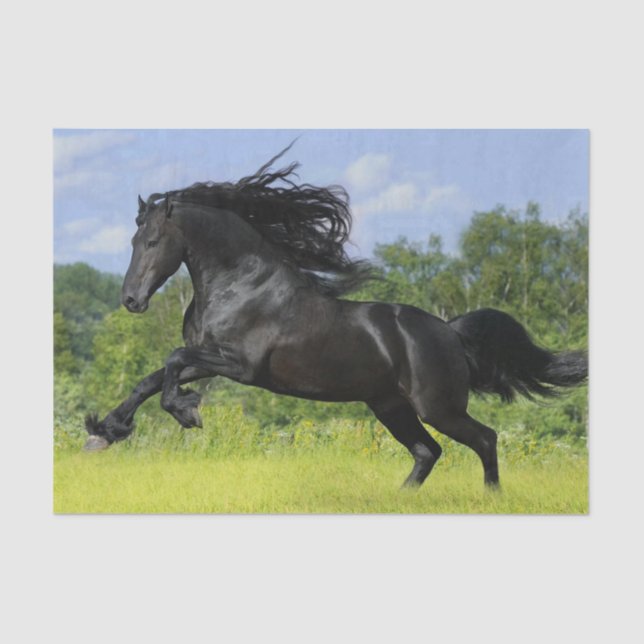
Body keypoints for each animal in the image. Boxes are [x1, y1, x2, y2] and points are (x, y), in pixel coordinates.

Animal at [84, 145, 588, 489]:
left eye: (153, 242)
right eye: (133, 241)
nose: (131, 300)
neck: (239, 285)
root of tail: (449, 331)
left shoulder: (239, 365)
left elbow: (170, 361)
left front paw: (186, 412)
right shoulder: (209, 358)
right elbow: (150, 379)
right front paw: (103, 432)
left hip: (438, 406)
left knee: (484, 439)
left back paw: (490, 497)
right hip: (390, 406)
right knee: (428, 451)